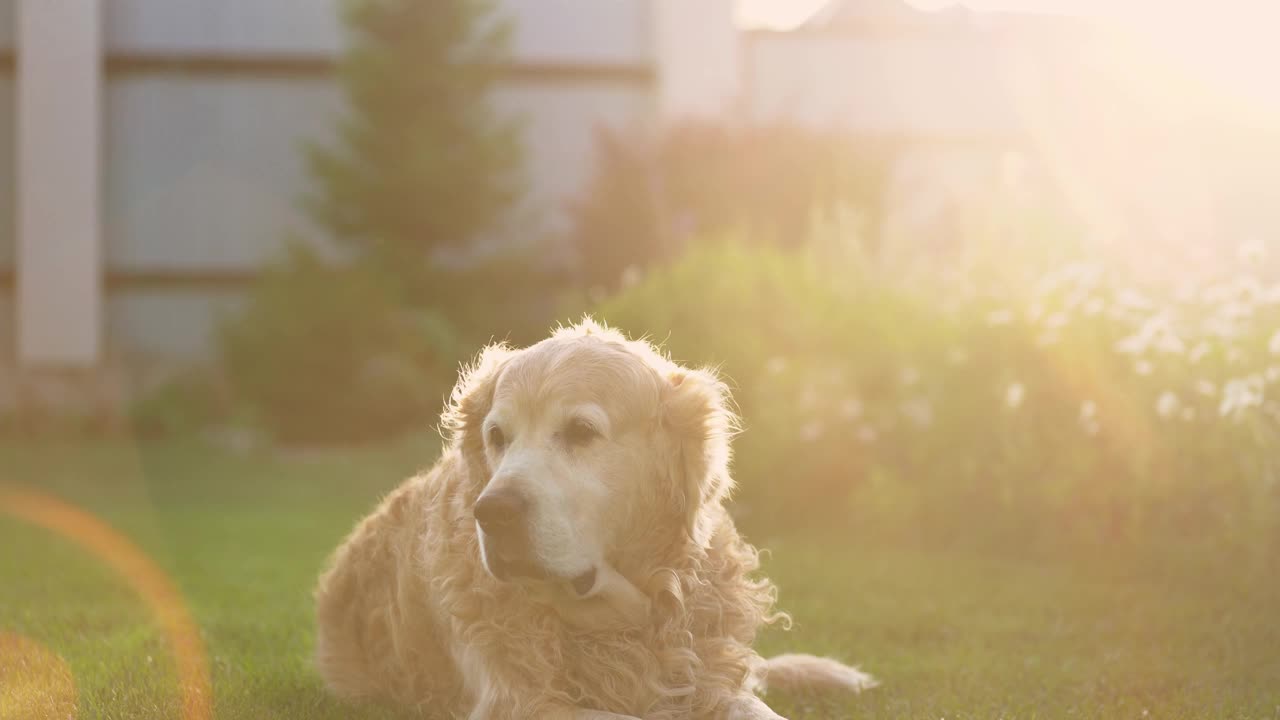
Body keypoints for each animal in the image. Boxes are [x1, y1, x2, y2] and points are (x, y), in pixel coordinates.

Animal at [314, 320, 875, 717]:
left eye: (581, 431)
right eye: (497, 437)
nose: (491, 512)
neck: (619, 618)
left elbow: (749, 703)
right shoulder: (517, 702)